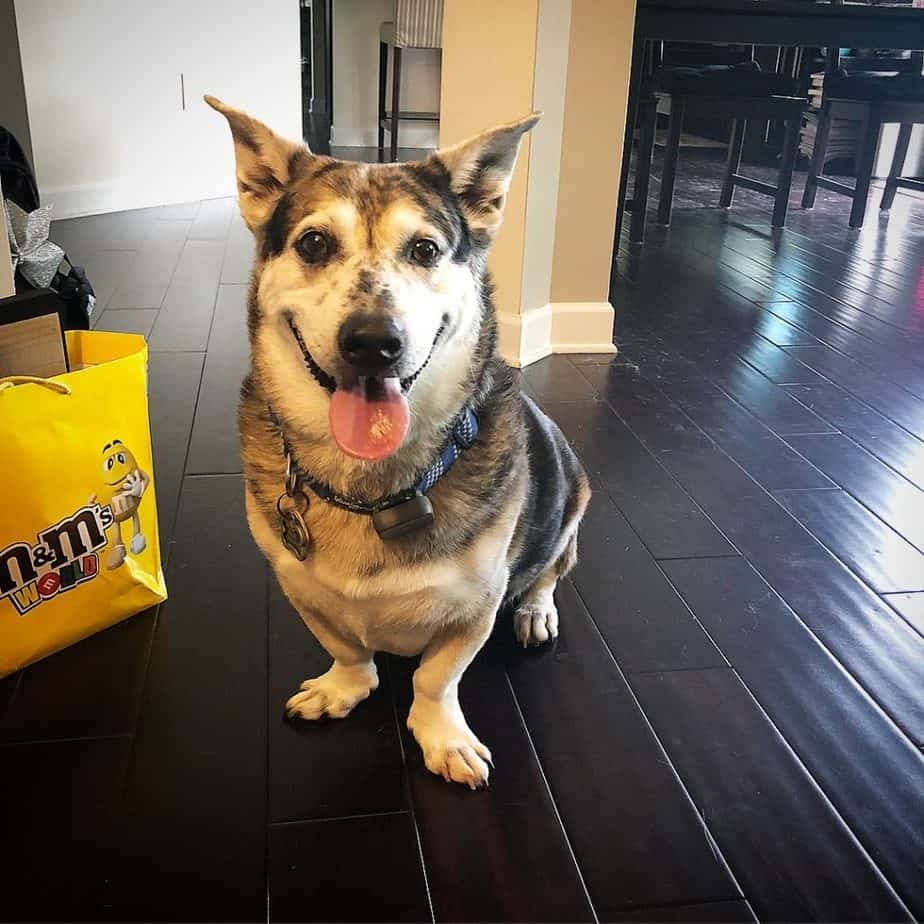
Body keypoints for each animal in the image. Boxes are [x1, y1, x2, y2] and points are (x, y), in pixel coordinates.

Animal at [206, 97, 588, 792]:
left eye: (426, 249)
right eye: (314, 243)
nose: (373, 342)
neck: (372, 484)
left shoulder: (476, 605)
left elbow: (437, 677)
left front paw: (443, 737)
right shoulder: (301, 588)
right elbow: (348, 649)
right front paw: (342, 688)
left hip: (571, 494)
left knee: (552, 567)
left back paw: (535, 611)